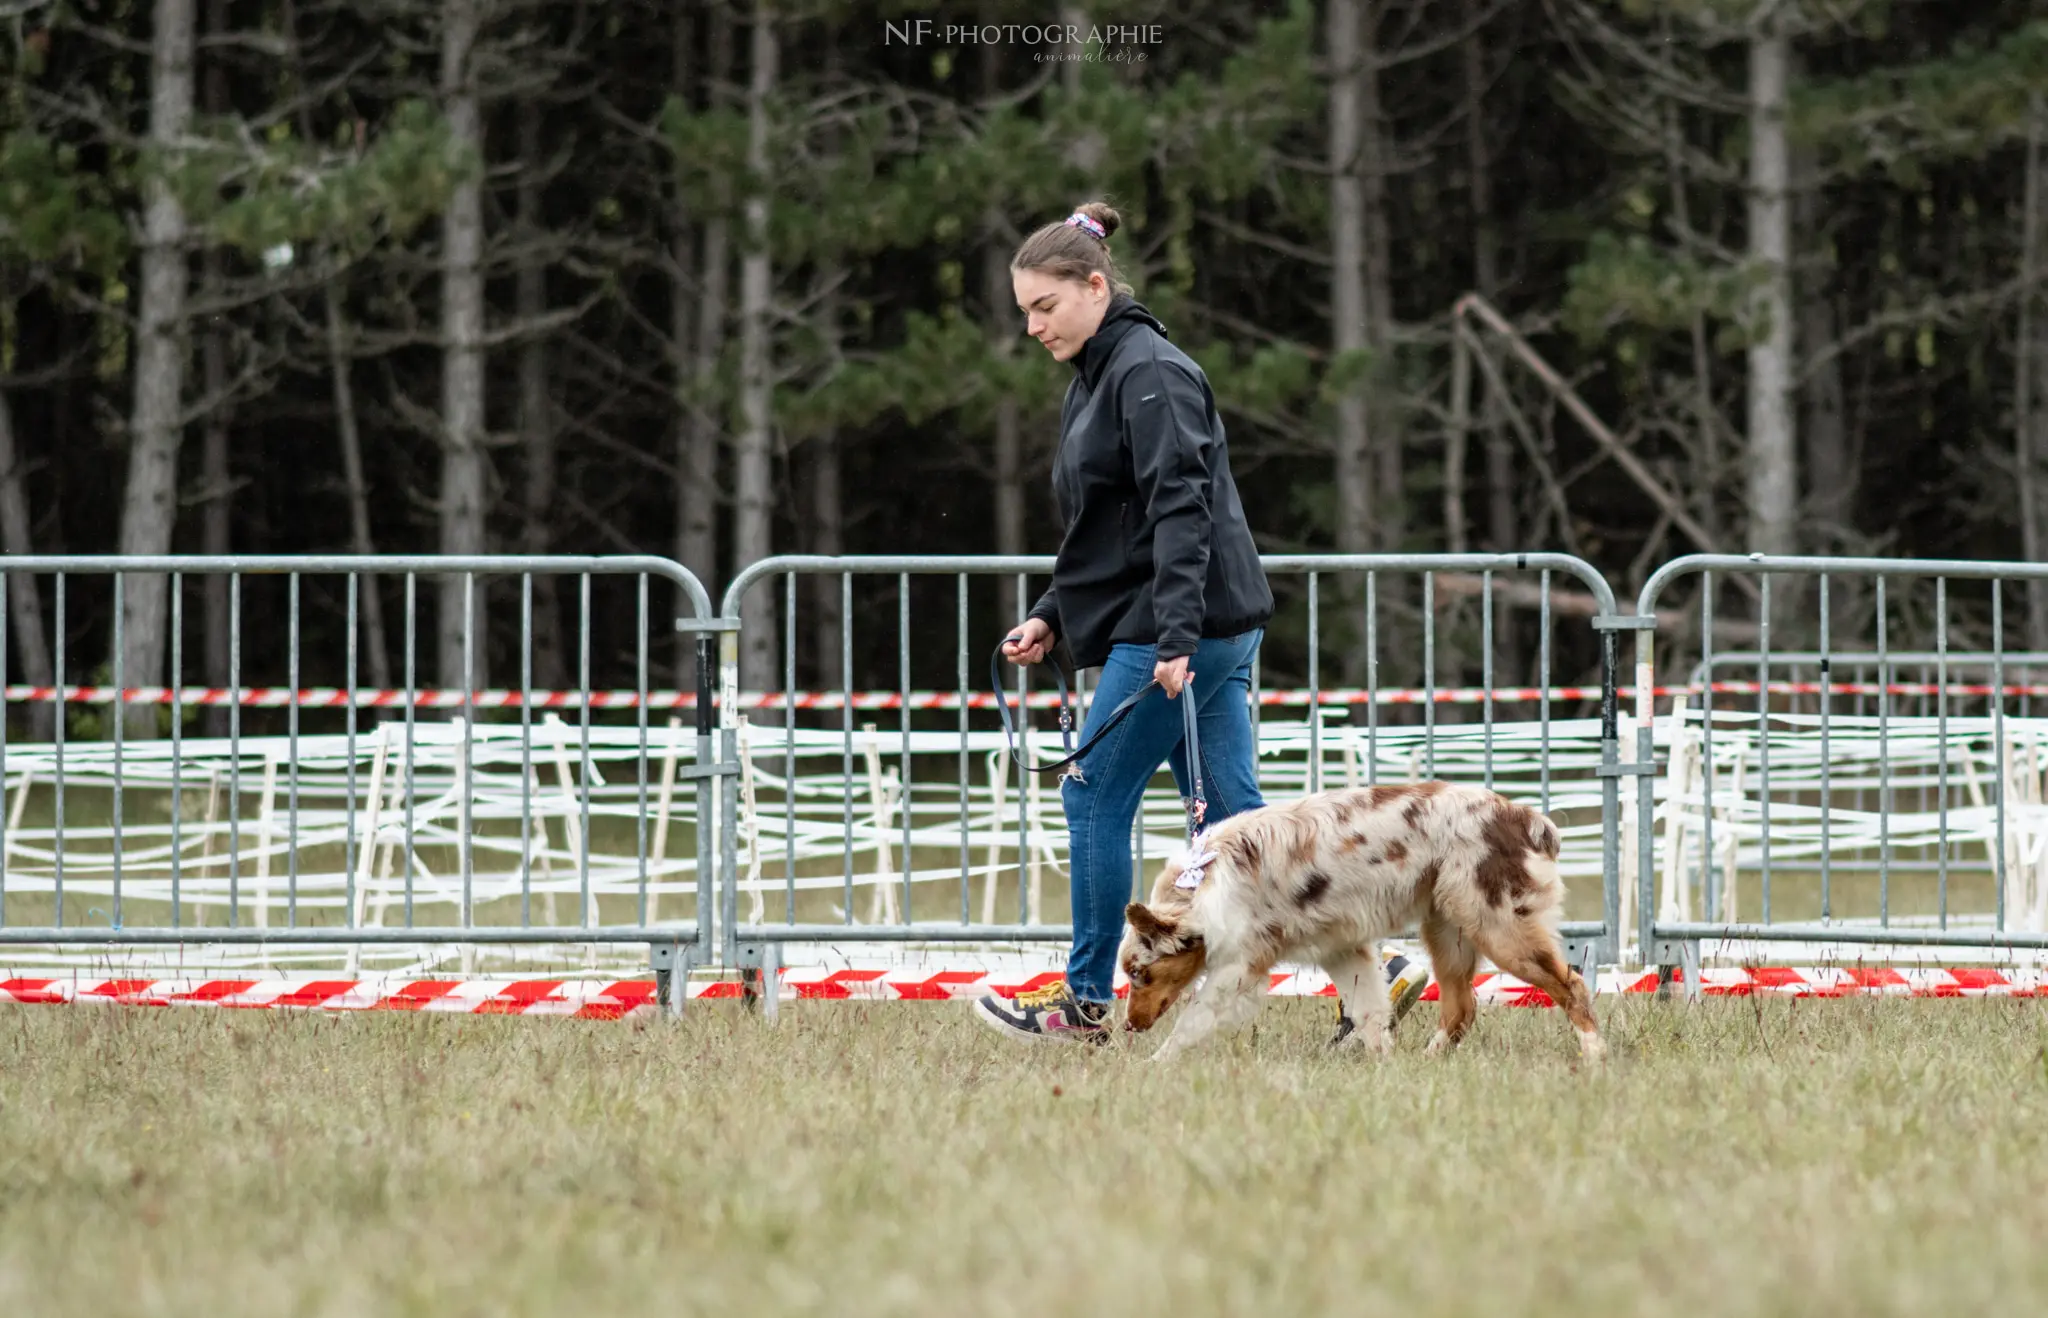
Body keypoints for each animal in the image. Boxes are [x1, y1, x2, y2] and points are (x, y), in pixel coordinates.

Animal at [1122, 777, 1597, 1064]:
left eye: (1141, 974)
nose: (1129, 1025)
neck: (1204, 884)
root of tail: (1526, 817)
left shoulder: (1239, 967)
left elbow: (1192, 1019)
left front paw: (1154, 1064)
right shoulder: (1342, 949)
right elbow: (1369, 1012)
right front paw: (1386, 1064)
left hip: (1499, 927)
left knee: (1572, 983)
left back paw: (1594, 1056)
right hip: (1449, 932)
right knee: (1461, 1009)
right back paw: (1428, 1061)